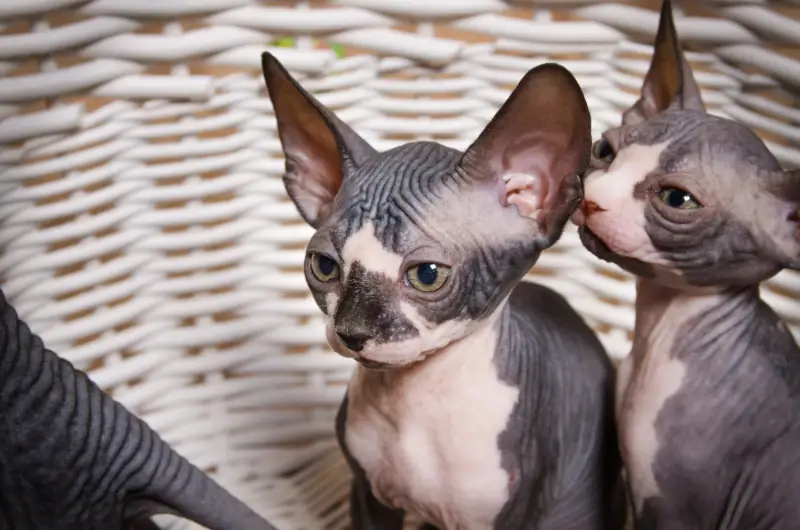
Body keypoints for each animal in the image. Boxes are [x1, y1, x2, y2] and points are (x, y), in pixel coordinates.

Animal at [262, 50, 624, 528]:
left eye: (427, 274)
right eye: (324, 266)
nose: (352, 331)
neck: (412, 407)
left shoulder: (509, 514)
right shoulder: (368, 496)